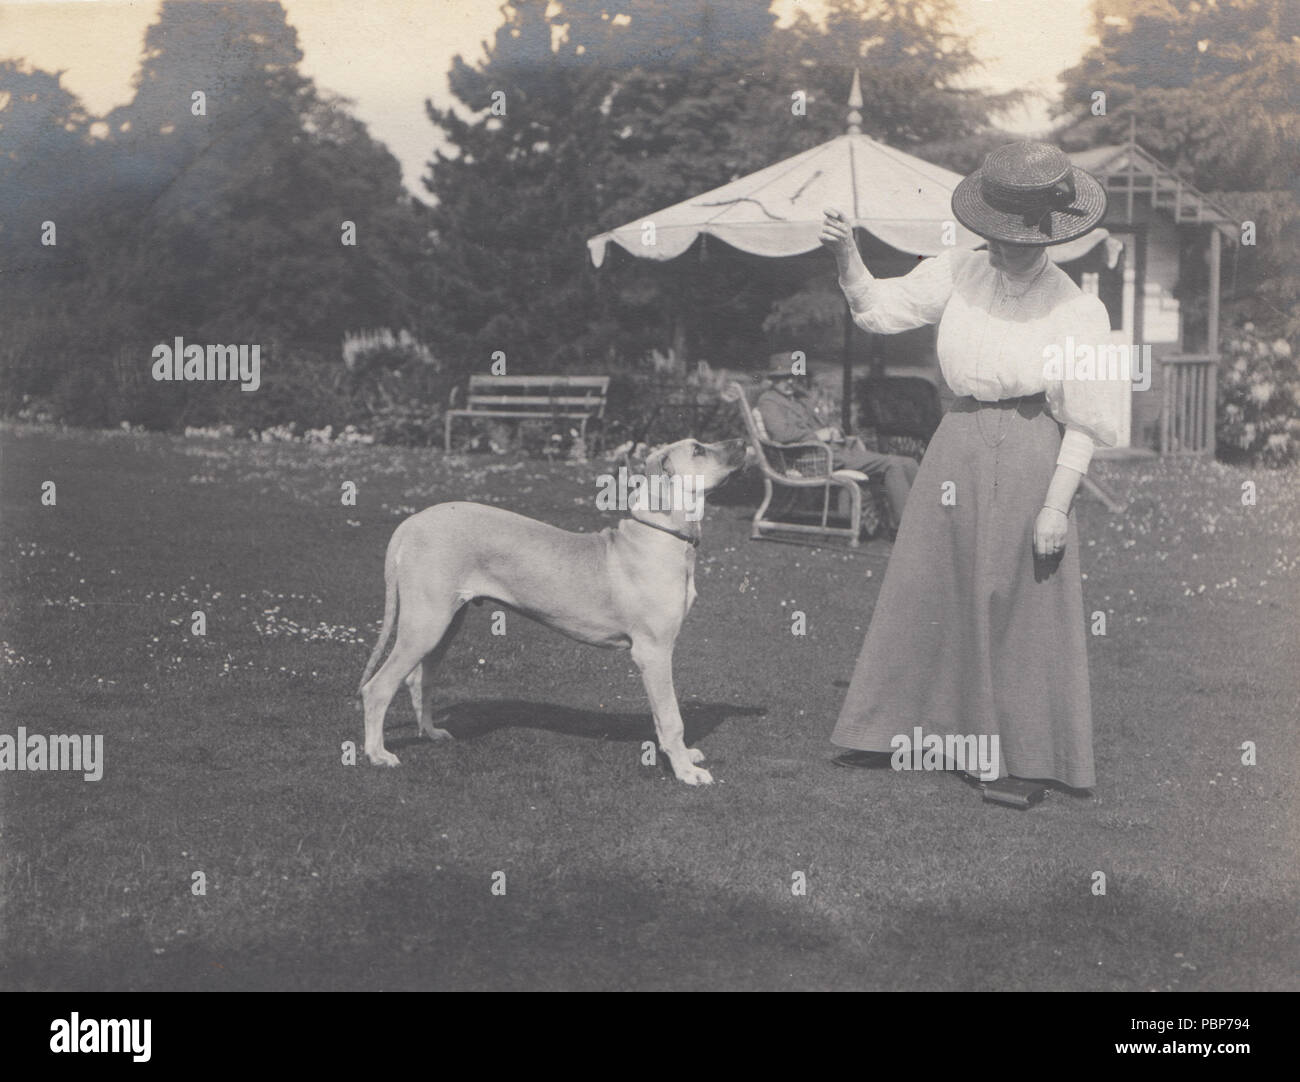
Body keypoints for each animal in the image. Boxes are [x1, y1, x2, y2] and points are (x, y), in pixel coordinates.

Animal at [356, 436, 748, 785]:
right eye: (697, 449)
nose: (744, 441)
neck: (663, 534)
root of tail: (411, 522)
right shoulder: (653, 650)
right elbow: (671, 716)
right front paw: (686, 771)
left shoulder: (653, 658)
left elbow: (659, 712)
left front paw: (679, 755)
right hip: (427, 622)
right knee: (378, 687)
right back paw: (378, 754)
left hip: (446, 621)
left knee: (419, 678)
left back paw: (431, 731)